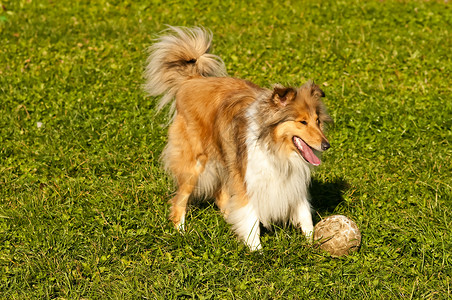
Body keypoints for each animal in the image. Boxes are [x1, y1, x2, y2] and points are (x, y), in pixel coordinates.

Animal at [145, 25, 332, 251]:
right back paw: (181, 232)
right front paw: (257, 251)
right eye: (302, 122)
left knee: (221, 195)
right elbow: (250, 217)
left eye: (317, 121)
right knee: (180, 199)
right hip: (194, 163)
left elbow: (304, 214)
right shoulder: (246, 178)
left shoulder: (291, 181)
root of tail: (192, 80)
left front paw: (313, 243)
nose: (326, 145)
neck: (274, 146)